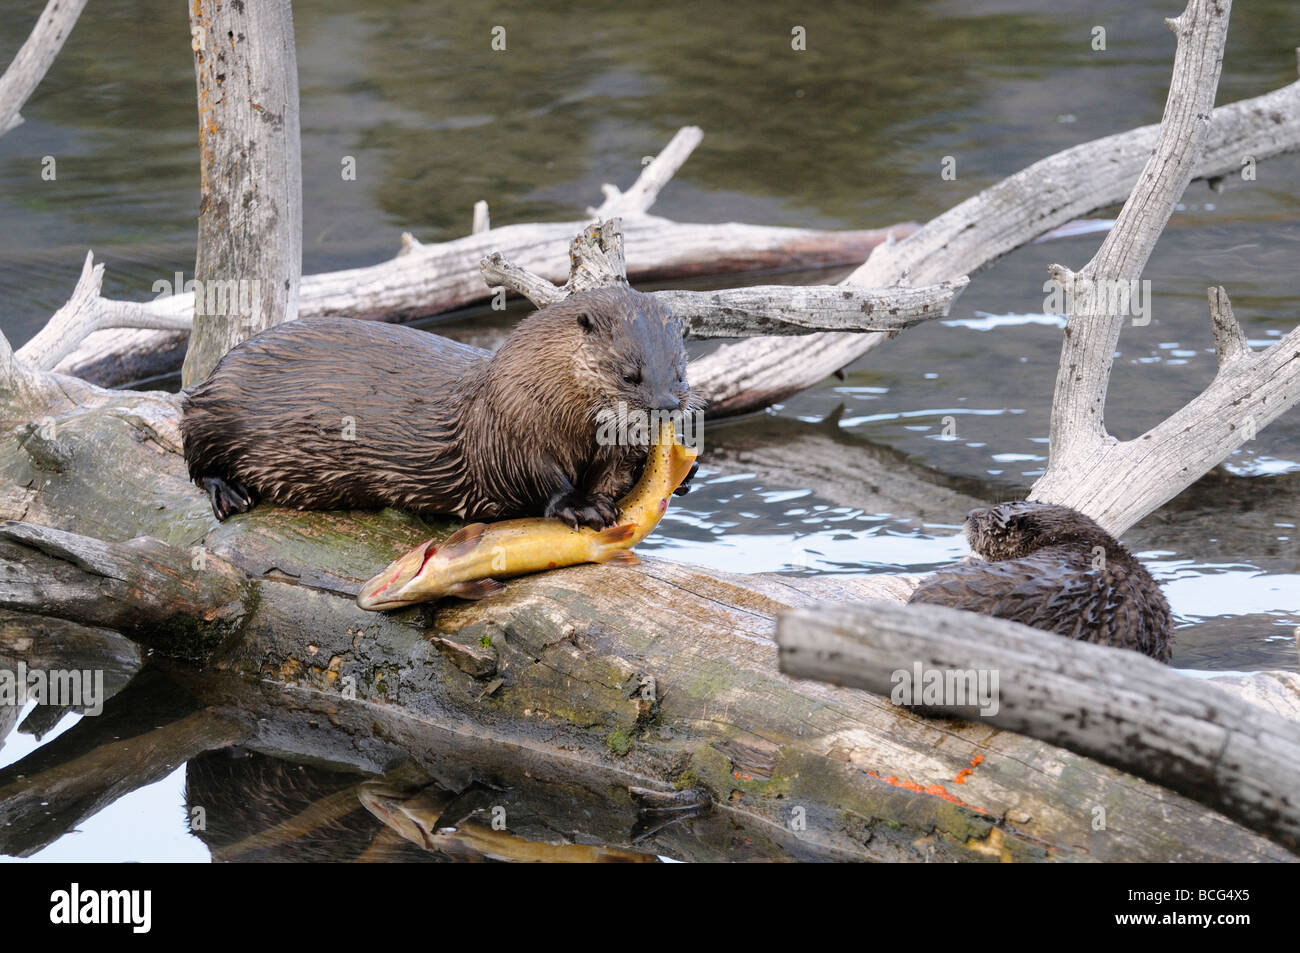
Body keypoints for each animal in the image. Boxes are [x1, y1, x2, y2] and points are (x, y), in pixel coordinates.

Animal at [181, 287, 697, 528]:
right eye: (629, 373)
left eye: (679, 370)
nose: (668, 405)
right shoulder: (508, 432)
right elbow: (539, 478)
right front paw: (581, 506)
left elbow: (615, 477)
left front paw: (684, 474)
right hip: (215, 408)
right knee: (194, 454)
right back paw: (229, 493)